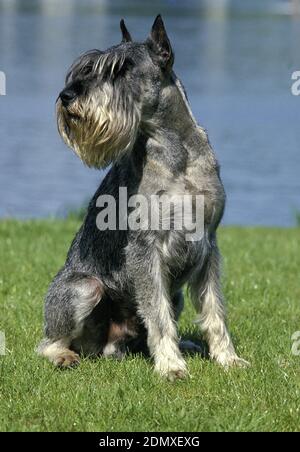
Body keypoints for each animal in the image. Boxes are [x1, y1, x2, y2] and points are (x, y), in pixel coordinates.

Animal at [37, 15, 248, 380]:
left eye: (122, 69)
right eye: (85, 69)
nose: (66, 95)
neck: (175, 154)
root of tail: (106, 346)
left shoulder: (208, 244)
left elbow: (214, 310)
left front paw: (227, 358)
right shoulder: (146, 247)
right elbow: (157, 315)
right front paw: (171, 366)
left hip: (175, 296)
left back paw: (186, 345)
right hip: (85, 288)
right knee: (49, 341)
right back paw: (63, 355)